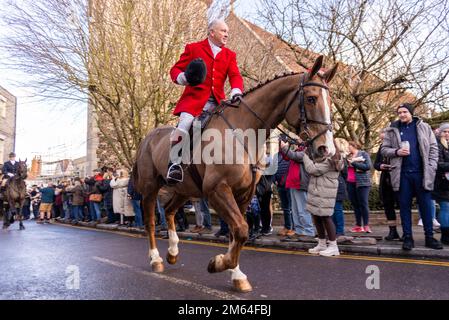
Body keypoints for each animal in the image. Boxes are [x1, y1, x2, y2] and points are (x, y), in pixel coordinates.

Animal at [132, 55, 336, 292]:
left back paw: (173, 252)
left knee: (169, 210)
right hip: (150, 188)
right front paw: (219, 263)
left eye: (330, 100)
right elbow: (240, 229)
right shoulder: (217, 189)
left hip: (185, 190)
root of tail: (148, 137)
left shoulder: (244, 194)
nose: (326, 149)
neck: (243, 133)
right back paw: (155, 259)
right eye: (312, 99)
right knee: (150, 221)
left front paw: (235, 274)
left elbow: (237, 232)